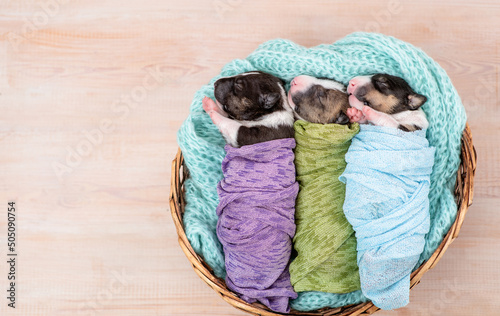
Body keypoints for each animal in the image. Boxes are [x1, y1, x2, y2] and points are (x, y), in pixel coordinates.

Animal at [202, 71, 298, 312]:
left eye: (238, 85)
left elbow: (227, 121)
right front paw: (212, 104)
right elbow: (227, 116)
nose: (215, 82)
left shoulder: (242, 134)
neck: (274, 110)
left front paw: (209, 105)